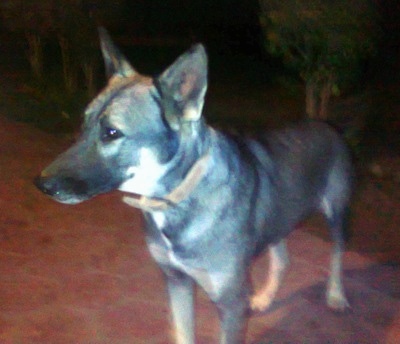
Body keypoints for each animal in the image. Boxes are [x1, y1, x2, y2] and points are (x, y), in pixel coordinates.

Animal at [35, 28, 354, 344]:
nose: (41, 184)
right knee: (282, 258)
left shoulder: (231, 303)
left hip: (336, 213)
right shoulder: (176, 280)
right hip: (278, 219)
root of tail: (326, 125)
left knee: (337, 253)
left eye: (112, 132)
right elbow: (183, 332)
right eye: (84, 123)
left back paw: (336, 295)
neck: (177, 196)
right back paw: (265, 297)